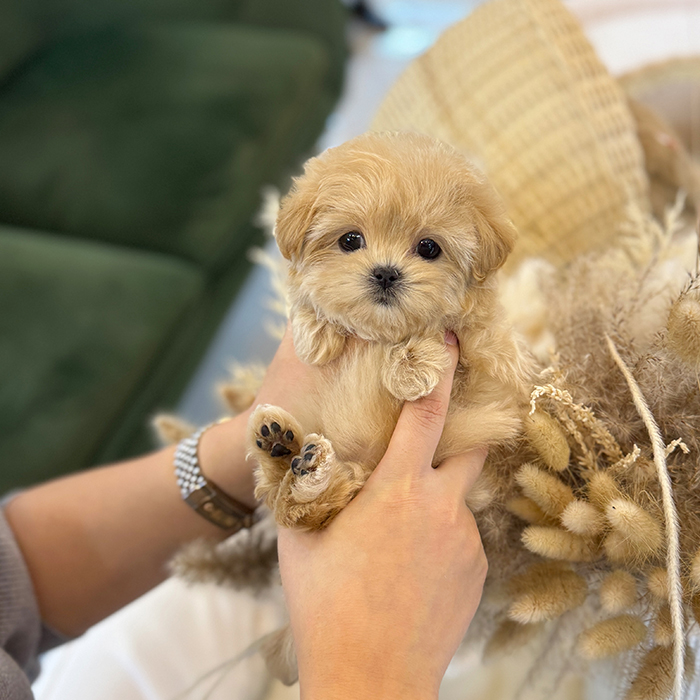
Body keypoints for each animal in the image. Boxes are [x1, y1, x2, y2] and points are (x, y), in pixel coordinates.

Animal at [249, 131, 528, 532]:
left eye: (428, 247)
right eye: (350, 240)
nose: (385, 272)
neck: (379, 335)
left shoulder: (493, 373)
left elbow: (456, 332)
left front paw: (412, 366)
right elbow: (309, 300)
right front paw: (316, 331)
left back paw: (300, 460)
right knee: (293, 505)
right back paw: (283, 447)